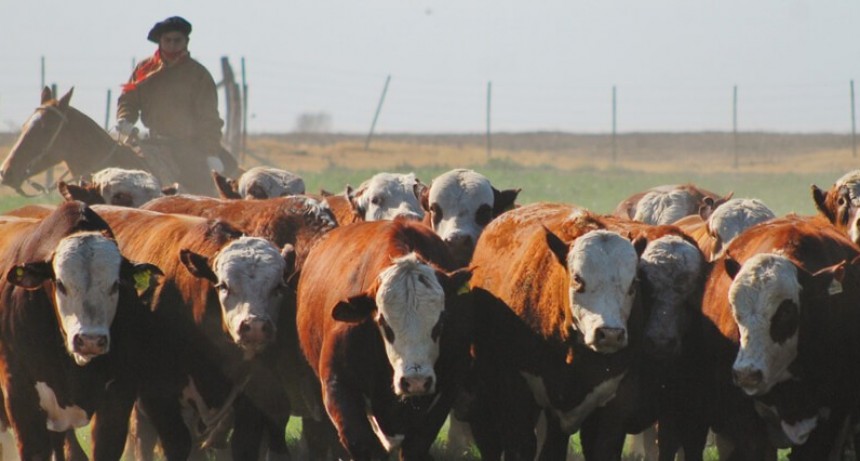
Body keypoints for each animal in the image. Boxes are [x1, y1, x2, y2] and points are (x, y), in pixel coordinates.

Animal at [90, 205, 296, 460]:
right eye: (223, 286)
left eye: (278, 287)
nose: (255, 326)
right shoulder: (157, 395)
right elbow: (177, 444)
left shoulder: (253, 395)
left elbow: (244, 445)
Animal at [296, 219, 473, 460]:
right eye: (382, 321)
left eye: (442, 319)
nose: (415, 381)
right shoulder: (338, 385)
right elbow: (362, 443)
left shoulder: (445, 390)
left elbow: (416, 445)